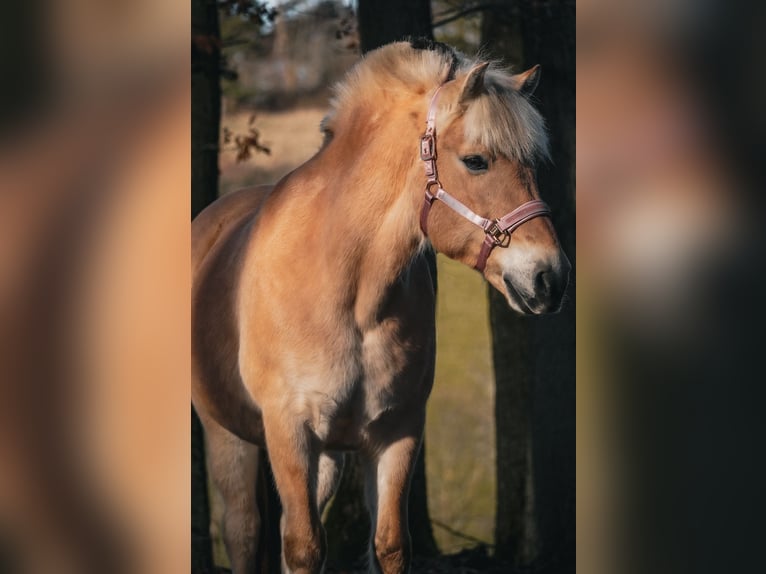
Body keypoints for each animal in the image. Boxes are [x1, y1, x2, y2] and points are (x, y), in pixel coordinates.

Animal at [192, 40, 570, 574]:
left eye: (533, 164)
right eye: (476, 161)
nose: (550, 278)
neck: (351, 295)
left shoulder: (398, 430)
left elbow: (387, 543)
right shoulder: (289, 431)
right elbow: (303, 547)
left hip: (328, 457)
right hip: (228, 438)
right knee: (245, 532)